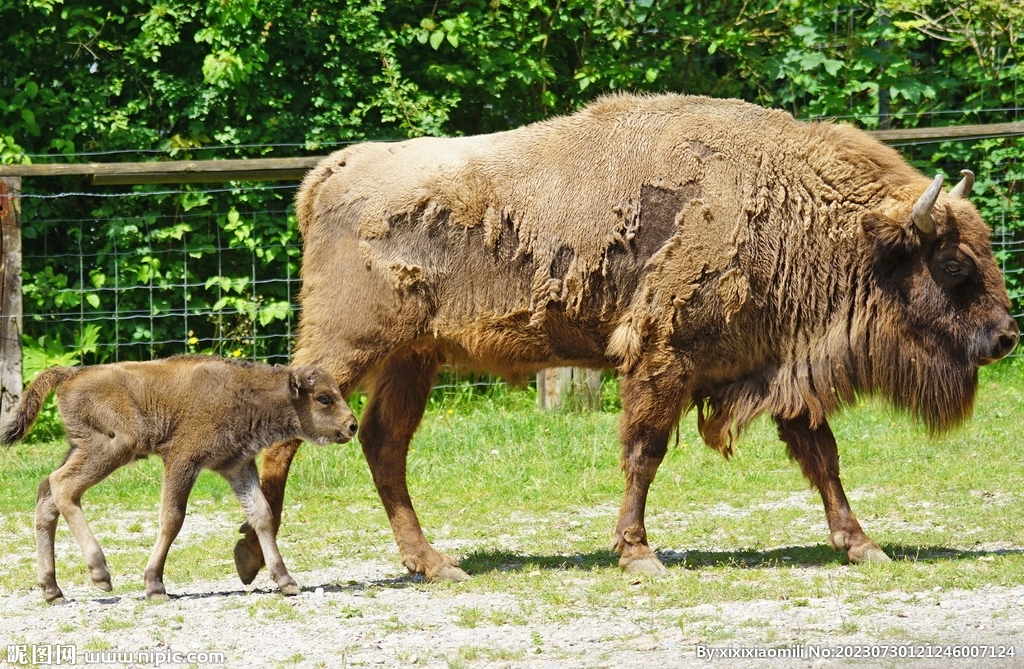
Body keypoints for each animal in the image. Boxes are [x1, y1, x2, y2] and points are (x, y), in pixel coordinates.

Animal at [0, 356, 358, 602]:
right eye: (323, 397)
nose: (352, 425)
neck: (248, 391)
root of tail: (72, 374)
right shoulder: (183, 460)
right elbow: (172, 518)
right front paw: (155, 585)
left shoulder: (237, 466)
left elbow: (261, 515)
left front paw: (286, 582)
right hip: (116, 446)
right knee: (63, 488)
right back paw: (100, 573)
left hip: (81, 448)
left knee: (47, 494)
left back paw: (53, 590)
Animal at [235, 92, 1019, 577]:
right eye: (953, 265)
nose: (1007, 337)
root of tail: (332, 172)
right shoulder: (661, 359)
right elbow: (644, 453)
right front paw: (639, 553)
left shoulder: (780, 367)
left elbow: (822, 456)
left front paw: (863, 546)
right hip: (352, 348)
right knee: (294, 427)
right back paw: (261, 559)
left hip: (412, 360)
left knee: (383, 446)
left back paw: (434, 564)